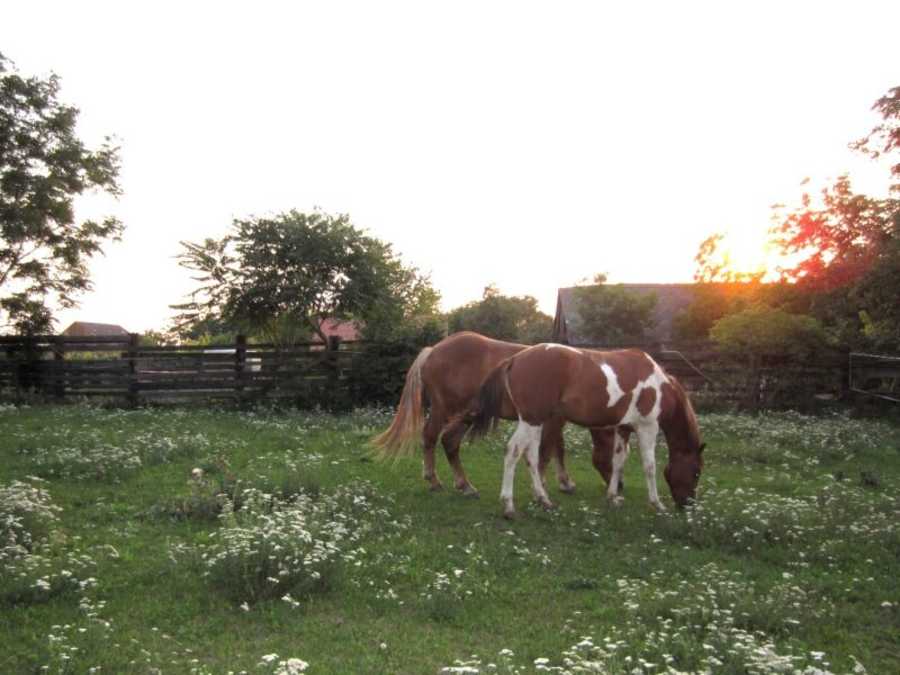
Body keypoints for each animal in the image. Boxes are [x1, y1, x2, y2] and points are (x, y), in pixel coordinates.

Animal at [370, 332, 624, 496]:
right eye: (616, 454)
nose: (620, 485)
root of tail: (433, 351)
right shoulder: (555, 420)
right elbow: (553, 450)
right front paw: (562, 483)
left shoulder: (551, 420)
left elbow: (556, 448)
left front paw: (562, 482)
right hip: (447, 411)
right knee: (432, 438)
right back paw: (434, 481)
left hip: (465, 415)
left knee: (449, 442)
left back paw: (463, 485)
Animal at [472, 344, 704, 516]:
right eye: (696, 472)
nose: (687, 504)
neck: (660, 385)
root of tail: (515, 359)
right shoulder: (648, 427)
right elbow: (649, 466)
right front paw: (657, 503)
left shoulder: (623, 428)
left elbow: (618, 461)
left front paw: (613, 497)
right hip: (532, 420)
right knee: (513, 451)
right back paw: (508, 505)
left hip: (535, 422)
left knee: (531, 456)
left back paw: (543, 500)